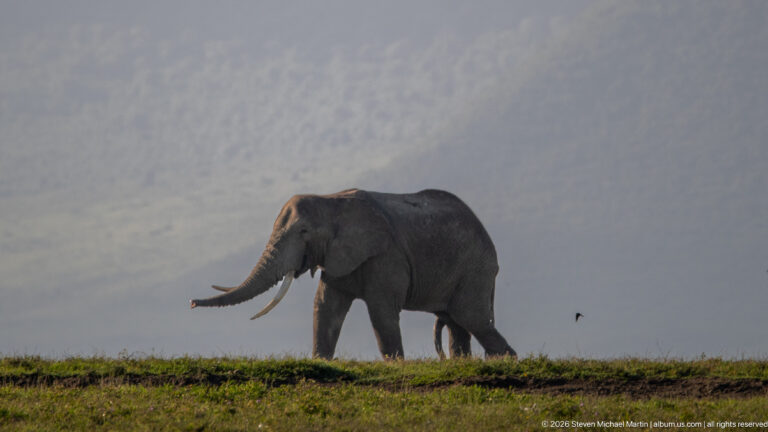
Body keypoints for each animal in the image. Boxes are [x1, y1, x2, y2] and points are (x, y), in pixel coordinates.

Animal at [190, 188, 516, 360]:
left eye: (303, 232)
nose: (191, 303)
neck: (330, 200)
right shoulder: (336, 258)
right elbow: (325, 308)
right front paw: (320, 362)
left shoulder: (386, 256)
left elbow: (382, 312)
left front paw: (396, 365)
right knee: (459, 324)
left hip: (475, 268)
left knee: (472, 318)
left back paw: (504, 360)